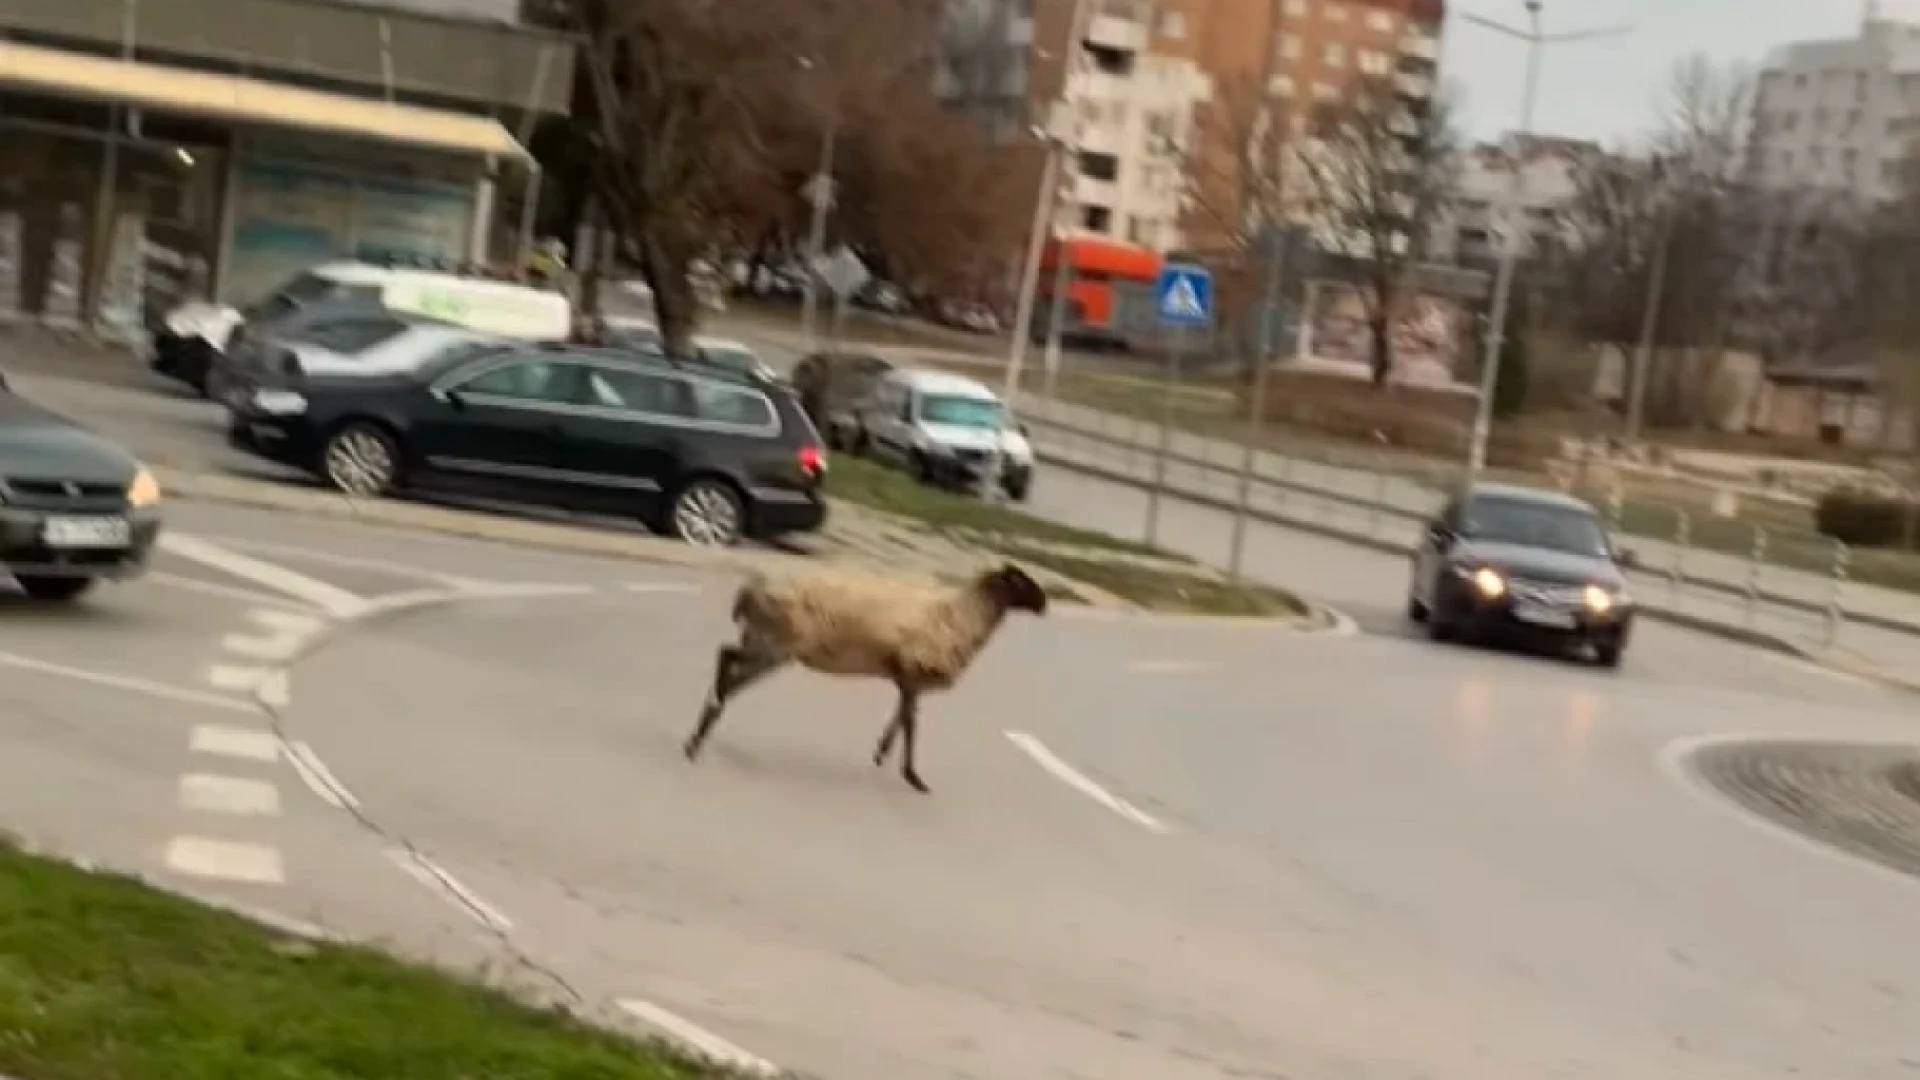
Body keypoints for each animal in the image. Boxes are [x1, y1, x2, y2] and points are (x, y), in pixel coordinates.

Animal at [683, 557, 1052, 787]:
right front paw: (912, 776)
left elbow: (902, 718)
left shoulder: (906, 678)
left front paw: (882, 754)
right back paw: (702, 730)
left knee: (726, 655)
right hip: (775, 645)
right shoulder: (914, 671)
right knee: (731, 668)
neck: (960, 615)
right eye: (1020, 581)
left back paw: (701, 725)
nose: (1045, 604)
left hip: (761, 640)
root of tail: (749, 593)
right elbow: (911, 724)